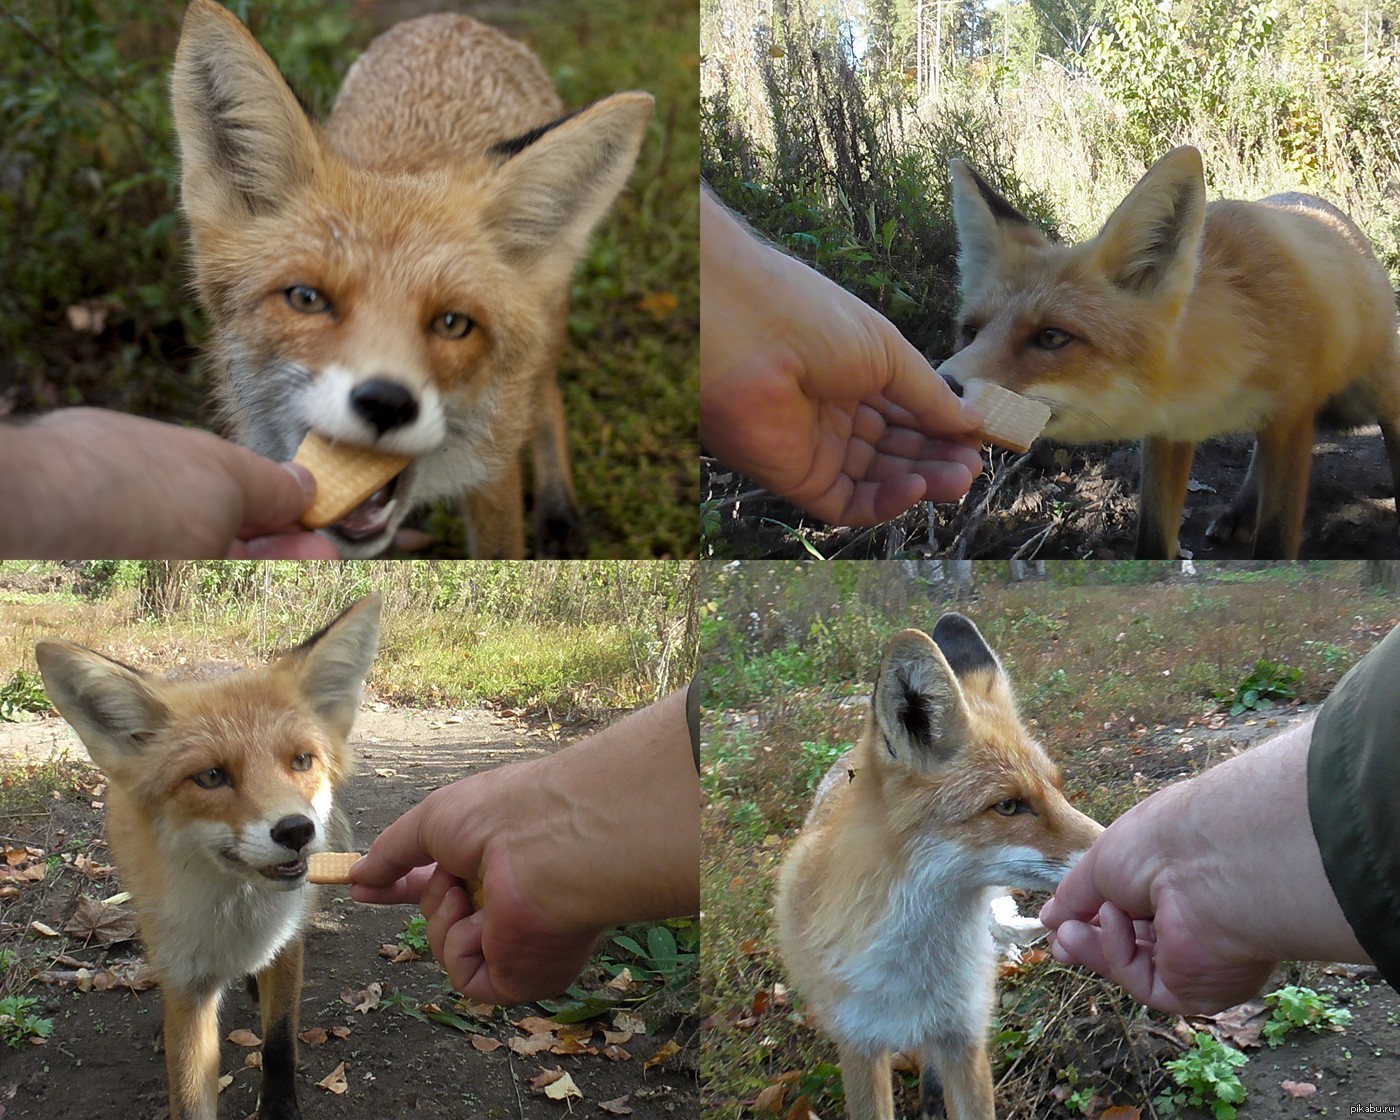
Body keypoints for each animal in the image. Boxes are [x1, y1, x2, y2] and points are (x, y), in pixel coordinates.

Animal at [32, 593, 380, 1120]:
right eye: (212, 777)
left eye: (301, 760)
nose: (298, 830)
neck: (238, 912)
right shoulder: (189, 987)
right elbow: (191, 1091)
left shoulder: (289, 943)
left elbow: (280, 1043)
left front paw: (279, 1108)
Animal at [172, 0, 652, 560]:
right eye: (307, 298)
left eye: (452, 323)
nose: (386, 402)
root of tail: (453, 20)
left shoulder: (491, 476)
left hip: (547, 327)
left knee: (545, 393)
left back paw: (558, 512)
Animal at [935, 148, 1400, 560]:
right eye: (970, 332)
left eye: (1051, 337)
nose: (941, 385)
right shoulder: (1170, 432)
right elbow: (1153, 540)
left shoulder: (1292, 416)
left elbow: (1276, 540)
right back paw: (1241, 511)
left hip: (1380, 393)